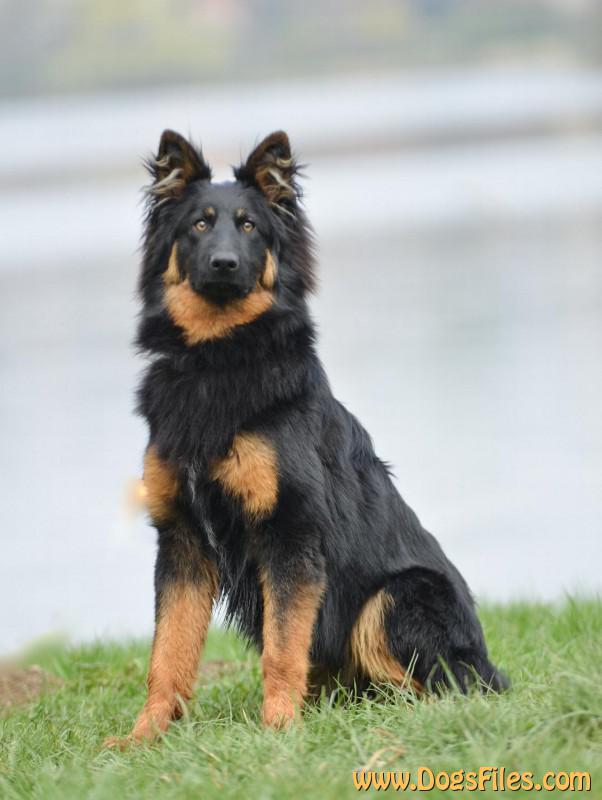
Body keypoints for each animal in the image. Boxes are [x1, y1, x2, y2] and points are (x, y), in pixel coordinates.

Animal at [107, 130, 508, 746]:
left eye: (250, 226)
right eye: (199, 224)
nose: (224, 263)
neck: (216, 359)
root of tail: (489, 669)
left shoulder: (290, 534)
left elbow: (281, 648)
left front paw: (278, 728)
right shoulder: (182, 541)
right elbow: (167, 653)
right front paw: (144, 737)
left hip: (396, 598)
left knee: (440, 691)